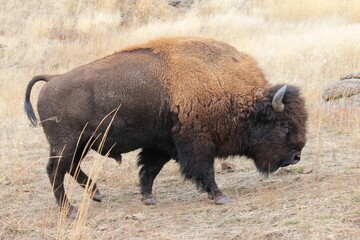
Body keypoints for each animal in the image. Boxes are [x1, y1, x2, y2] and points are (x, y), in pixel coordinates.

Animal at [24, 36, 306, 218]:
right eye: (283, 124)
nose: (295, 156)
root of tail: (52, 80)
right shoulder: (197, 143)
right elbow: (205, 171)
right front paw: (220, 196)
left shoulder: (162, 145)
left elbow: (149, 170)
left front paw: (148, 198)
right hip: (66, 143)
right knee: (55, 171)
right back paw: (70, 210)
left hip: (80, 144)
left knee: (70, 167)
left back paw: (97, 194)